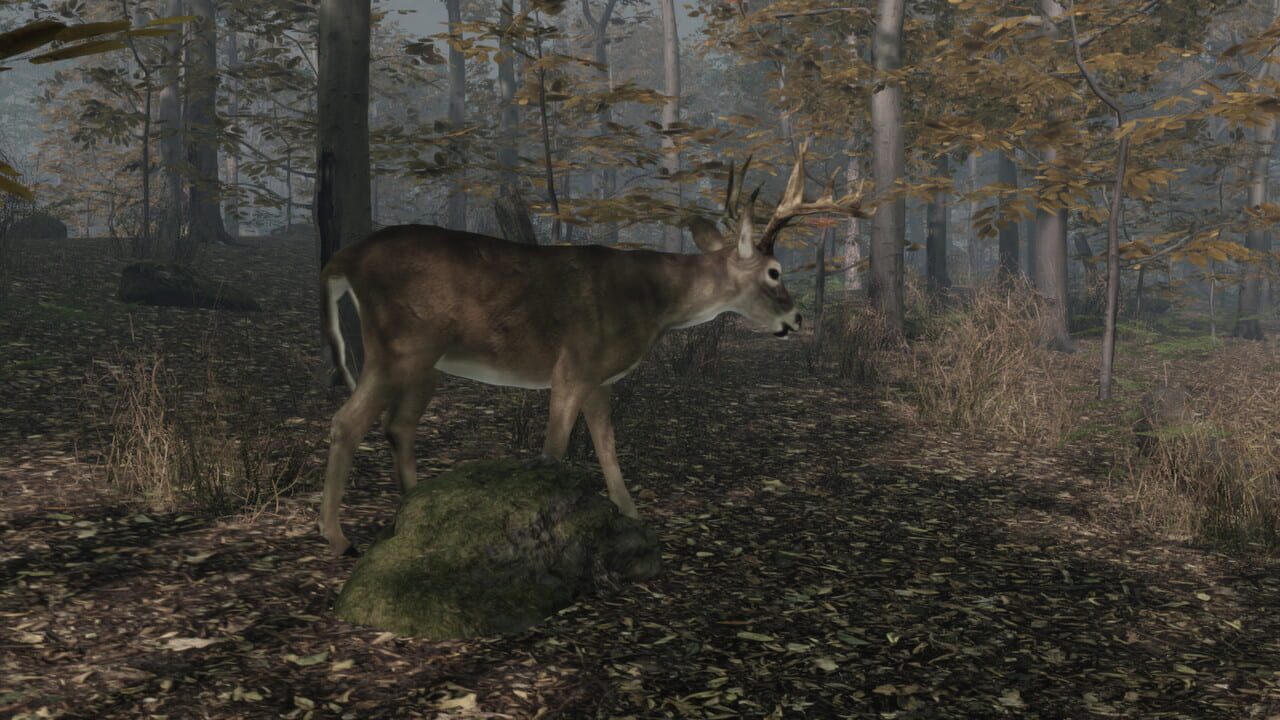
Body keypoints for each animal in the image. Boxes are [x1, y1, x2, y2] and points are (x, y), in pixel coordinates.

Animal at [317, 143, 864, 556]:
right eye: (774, 272)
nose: (796, 318)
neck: (651, 302)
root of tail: (343, 259)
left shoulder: (598, 377)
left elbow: (607, 446)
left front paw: (633, 515)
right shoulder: (572, 365)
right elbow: (554, 452)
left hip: (421, 360)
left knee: (396, 426)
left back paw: (412, 512)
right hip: (398, 345)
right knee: (347, 421)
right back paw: (340, 538)